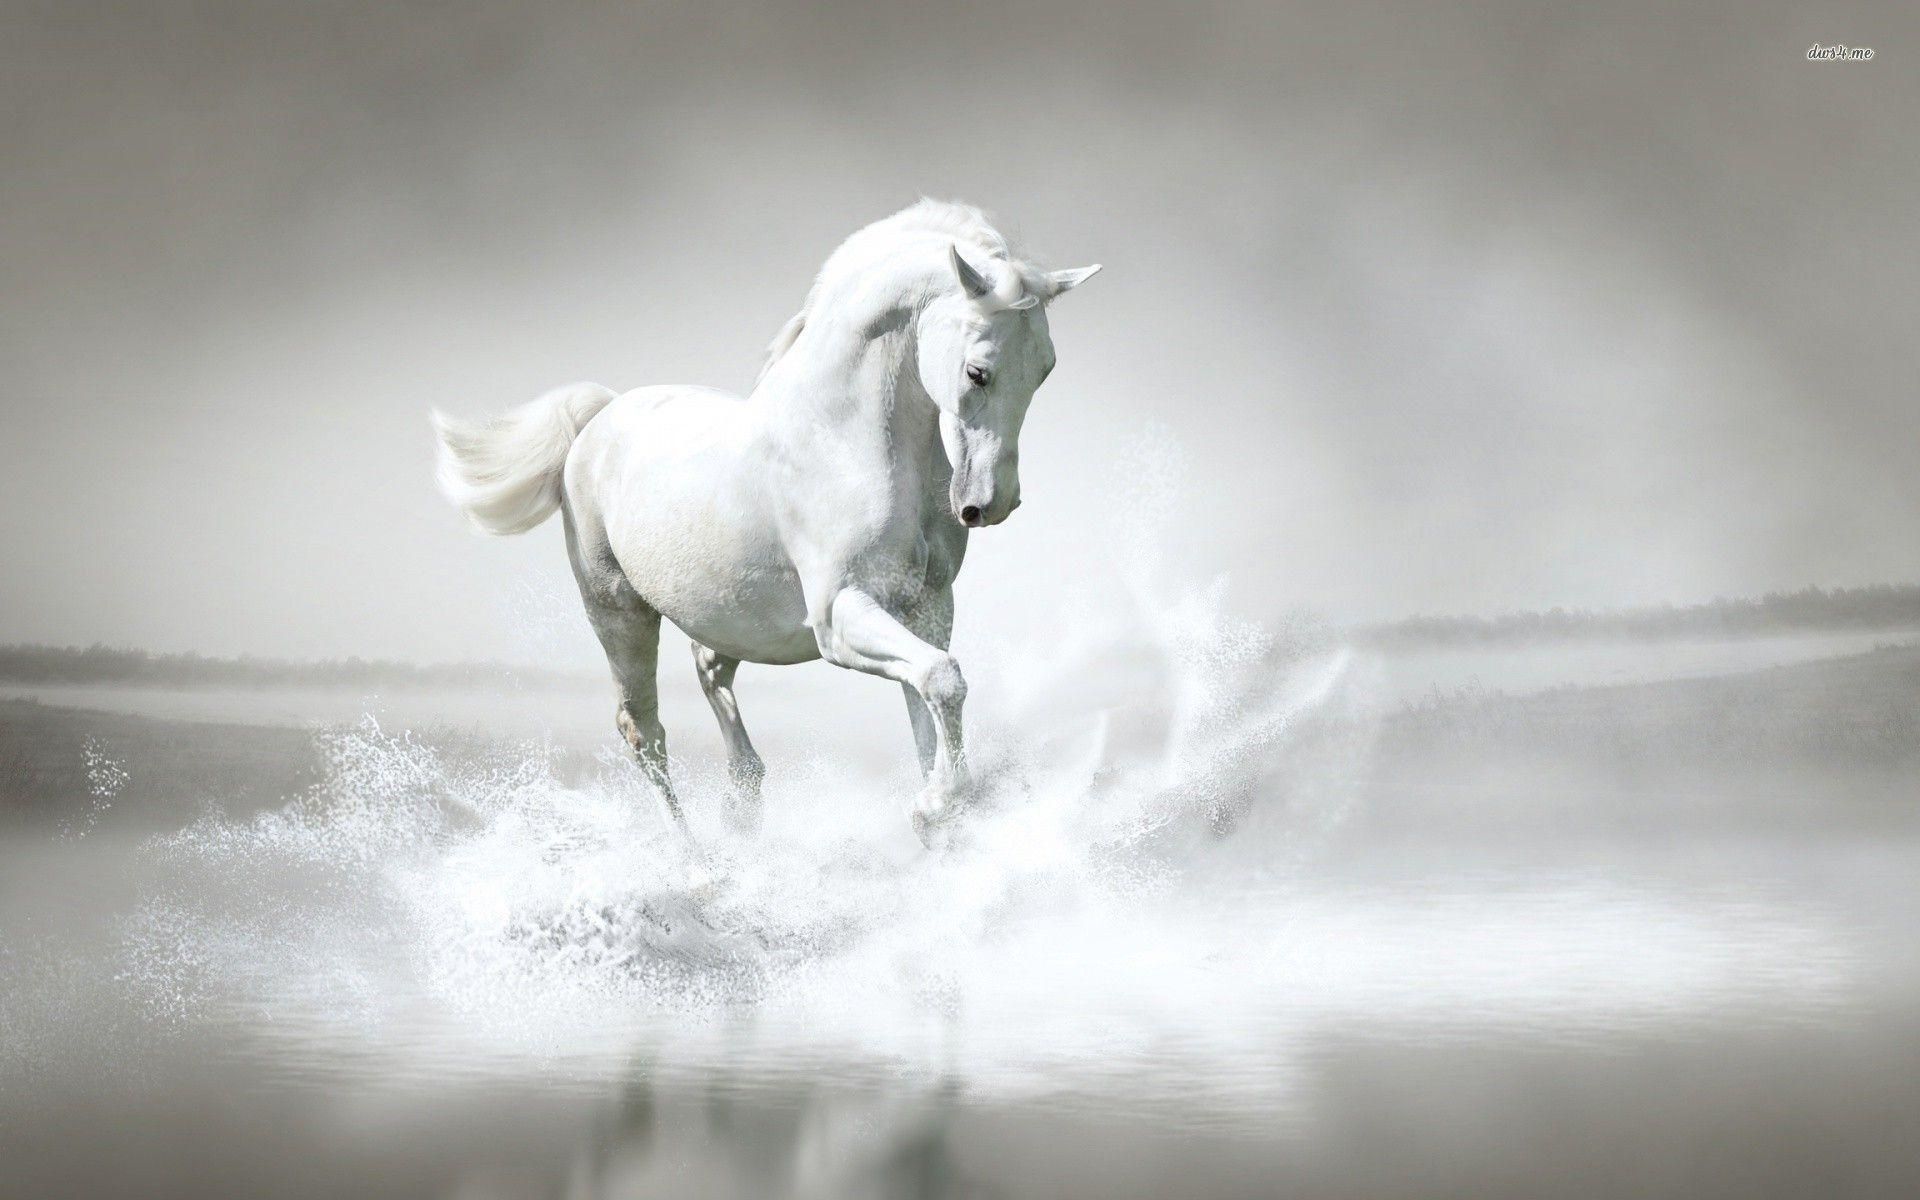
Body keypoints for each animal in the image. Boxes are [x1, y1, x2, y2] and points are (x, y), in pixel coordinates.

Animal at [431, 200, 1099, 846]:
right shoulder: (839, 616)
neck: (842, 440)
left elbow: (928, 702)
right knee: (644, 733)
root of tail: (599, 418)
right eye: (977, 371)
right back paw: (698, 864)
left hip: (729, 615)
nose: (991, 503)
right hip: (618, 612)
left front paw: (941, 817)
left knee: (708, 670)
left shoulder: (927, 606)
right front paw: (935, 809)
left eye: (1045, 369)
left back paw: (742, 803)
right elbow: (942, 679)